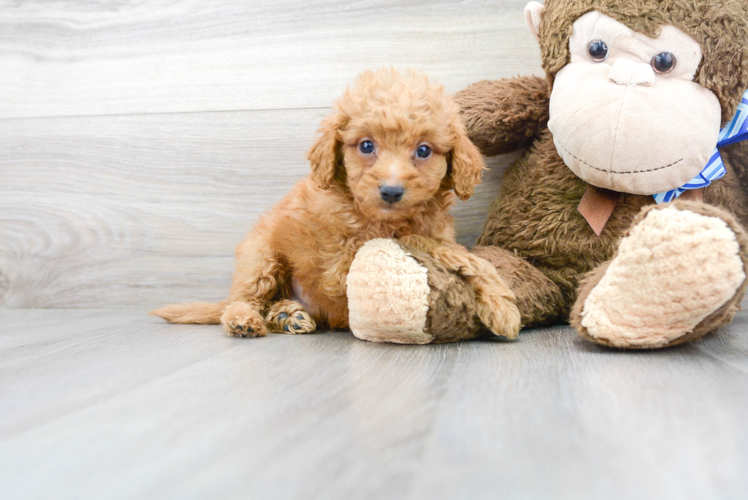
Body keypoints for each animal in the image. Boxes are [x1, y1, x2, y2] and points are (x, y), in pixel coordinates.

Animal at [149, 66, 516, 338]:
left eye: (424, 150)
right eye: (366, 146)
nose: (391, 191)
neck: (382, 218)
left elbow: (441, 244)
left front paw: (497, 301)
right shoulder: (343, 260)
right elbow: (426, 243)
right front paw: (501, 301)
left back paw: (287, 315)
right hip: (260, 256)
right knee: (245, 297)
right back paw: (245, 319)